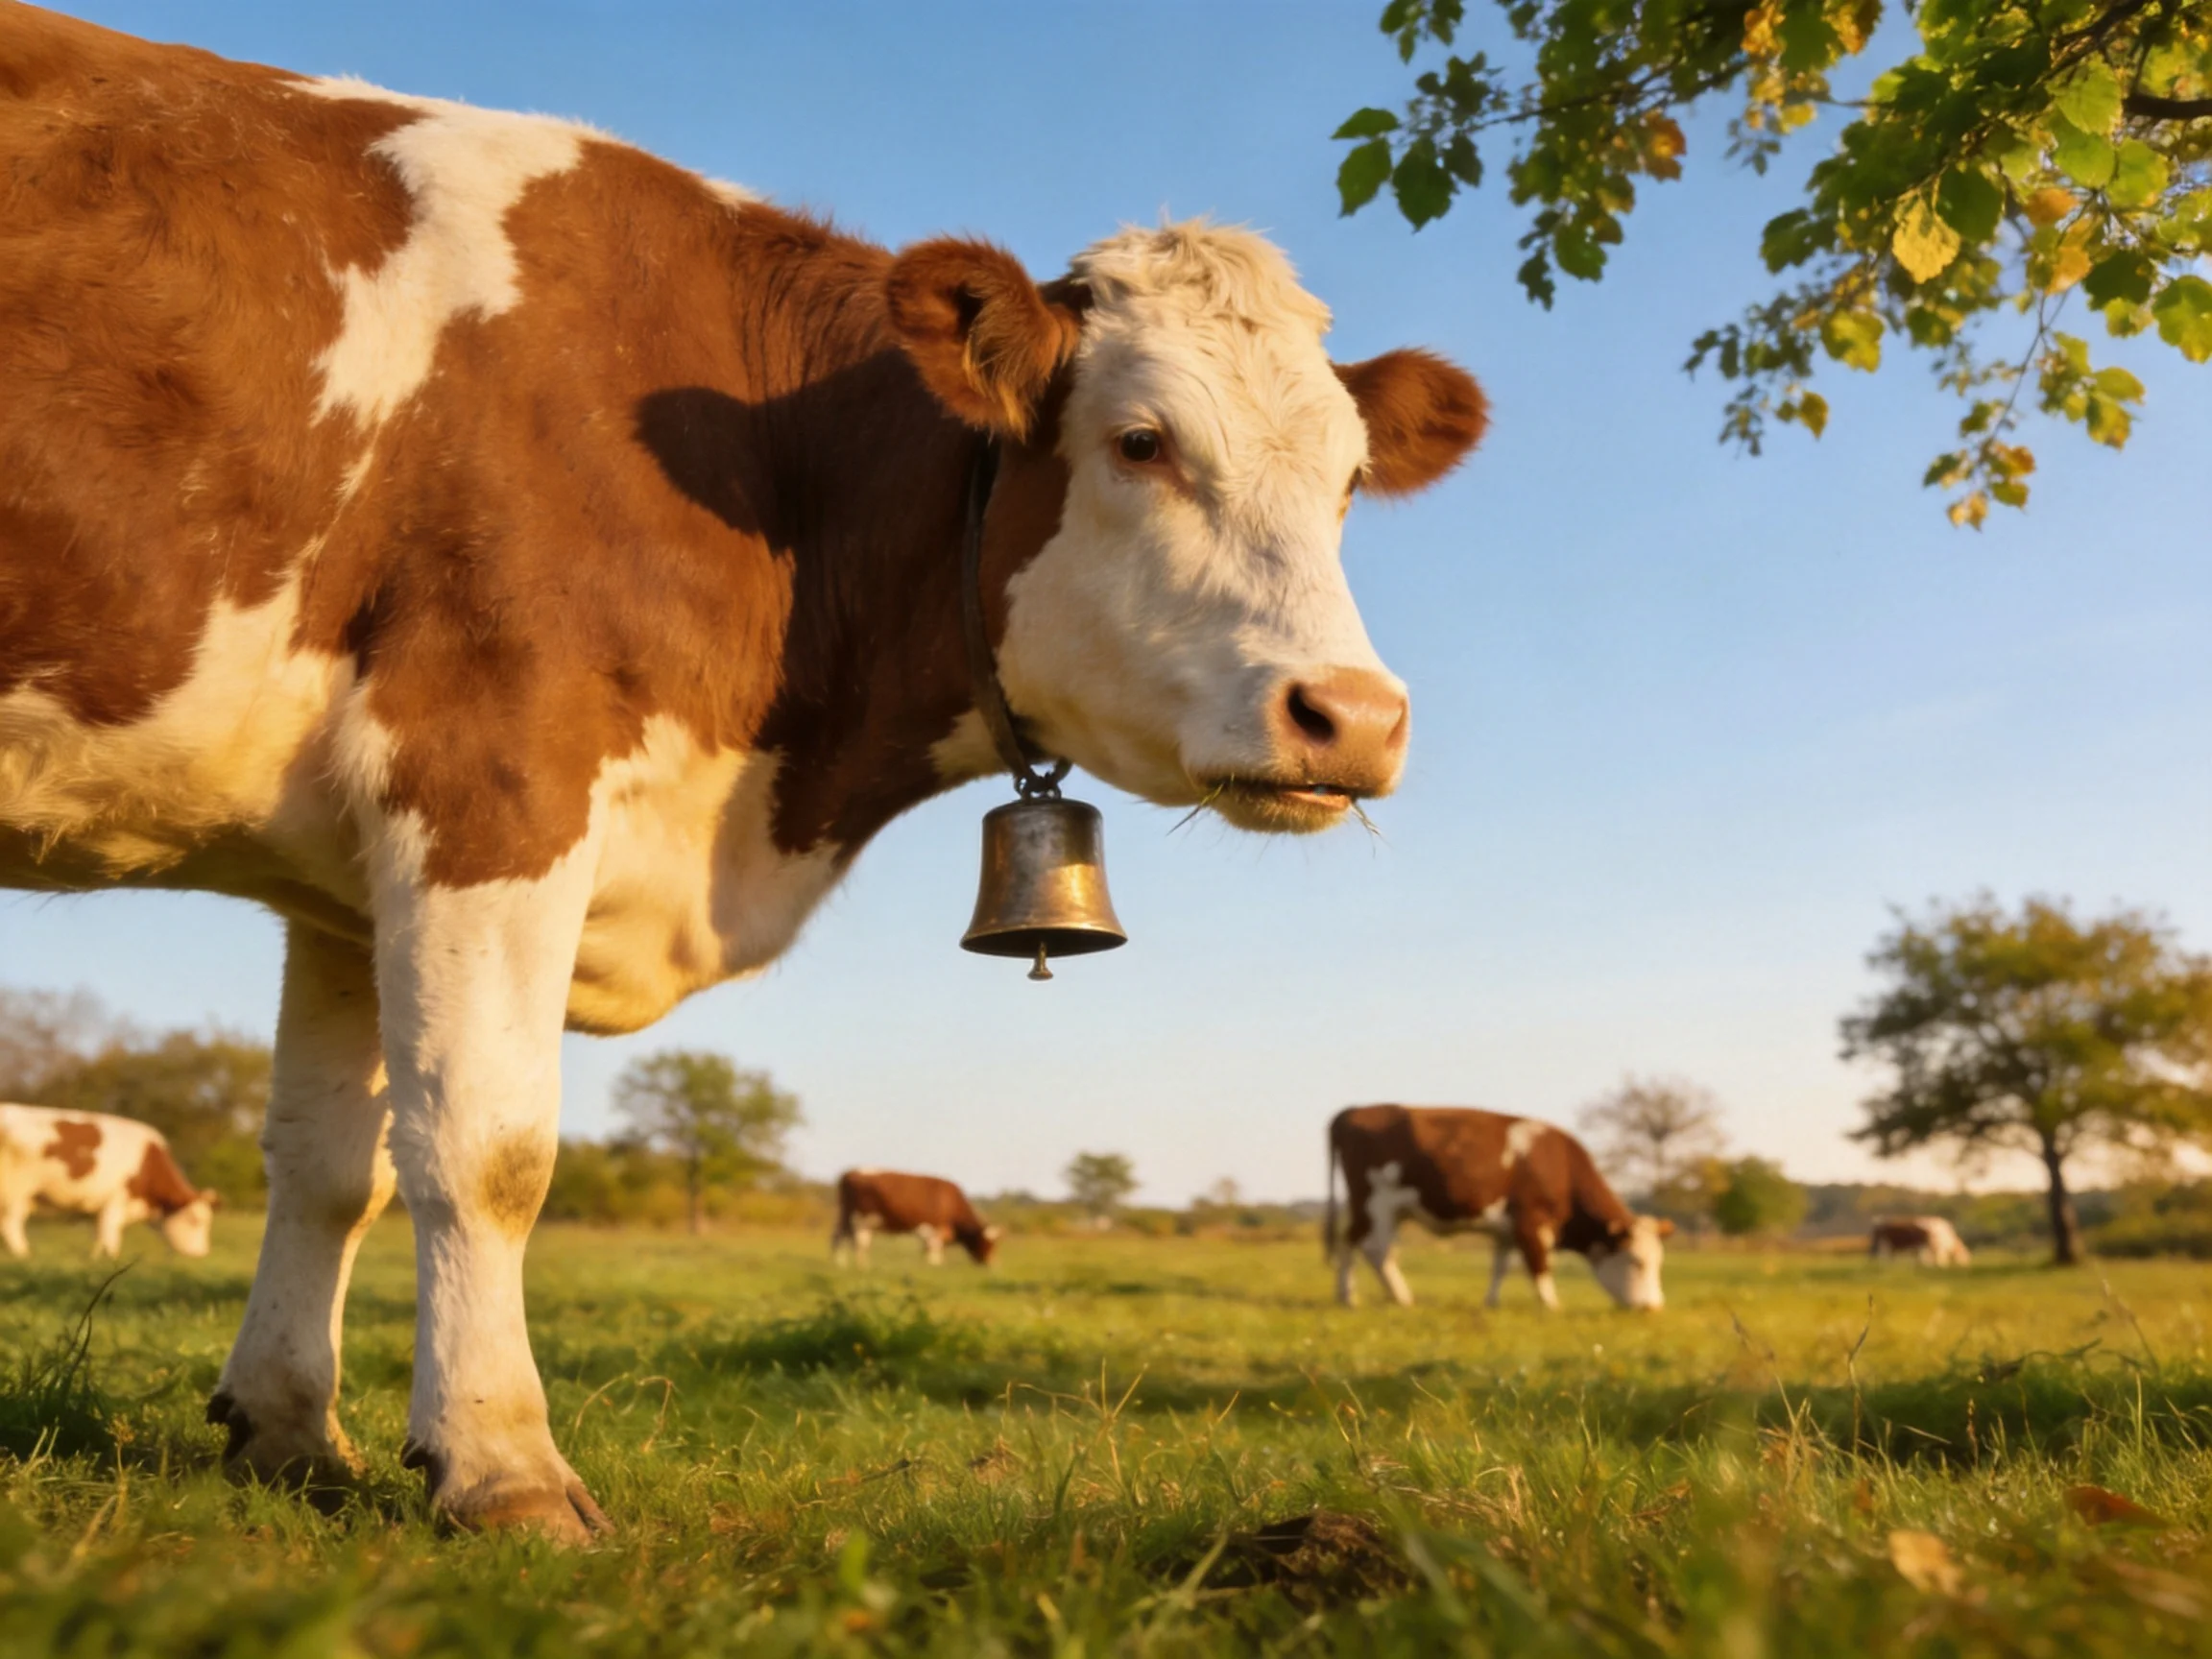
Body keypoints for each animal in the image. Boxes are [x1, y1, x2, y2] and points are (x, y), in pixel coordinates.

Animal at [0, 1104, 218, 1259]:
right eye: (195, 1221)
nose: (201, 1254)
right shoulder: (116, 1199)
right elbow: (111, 1233)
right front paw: (114, 1259)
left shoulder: (104, 1205)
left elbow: (100, 1233)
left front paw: (96, 1258)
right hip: (18, 1190)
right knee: (11, 1224)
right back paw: (24, 1255)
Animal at [832, 1169, 999, 1267]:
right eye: (986, 1243)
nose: (989, 1264)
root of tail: (850, 1172)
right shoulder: (934, 1229)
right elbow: (933, 1249)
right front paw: (934, 1265)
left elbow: (928, 1249)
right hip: (860, 1220)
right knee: (858, 1243)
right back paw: (860, 1265)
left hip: (846, 1217)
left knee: (838, 1237)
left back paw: (841, 1262)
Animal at [1326, 1106, 1673, 1312]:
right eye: (1638, 1261)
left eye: (1659, 1262)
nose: (1654, 1307)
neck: (1561, 1167)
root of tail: (1353, 1111)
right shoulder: (1532, 1222)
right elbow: (1540, 1264)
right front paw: (1551, 1304)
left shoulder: (1507, 1230)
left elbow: (1501, 1266)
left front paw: (1491, 1302)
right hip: (1377, 1203)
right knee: (1376, 1250)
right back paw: (1401, 1297)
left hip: (1378, 1209)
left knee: (1351, 1242)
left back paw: (1347, 1296)